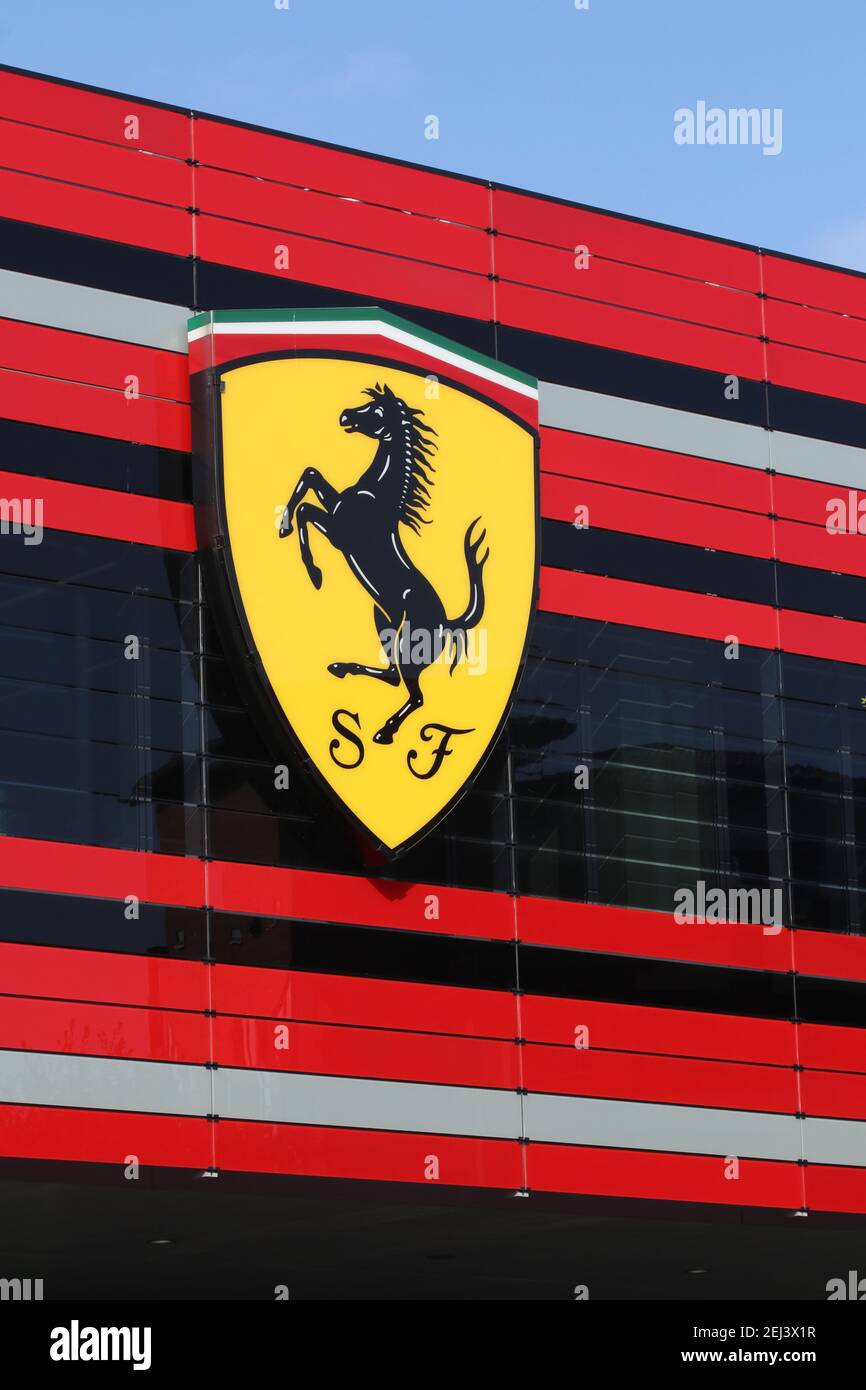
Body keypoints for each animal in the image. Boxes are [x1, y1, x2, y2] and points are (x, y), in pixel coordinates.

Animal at [280, 380, 492, 745]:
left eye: (377, 412)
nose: (345, 415)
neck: (376, 493)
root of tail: (447, 622)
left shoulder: (339, 532)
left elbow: (306, 508)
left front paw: (314, 572)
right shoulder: (335, 512)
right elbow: (310, 475)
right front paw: (283, 526)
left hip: (409, 642)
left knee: (415, 694)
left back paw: (384, 731)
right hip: (383, 619)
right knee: (393, 675)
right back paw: (341, 669)